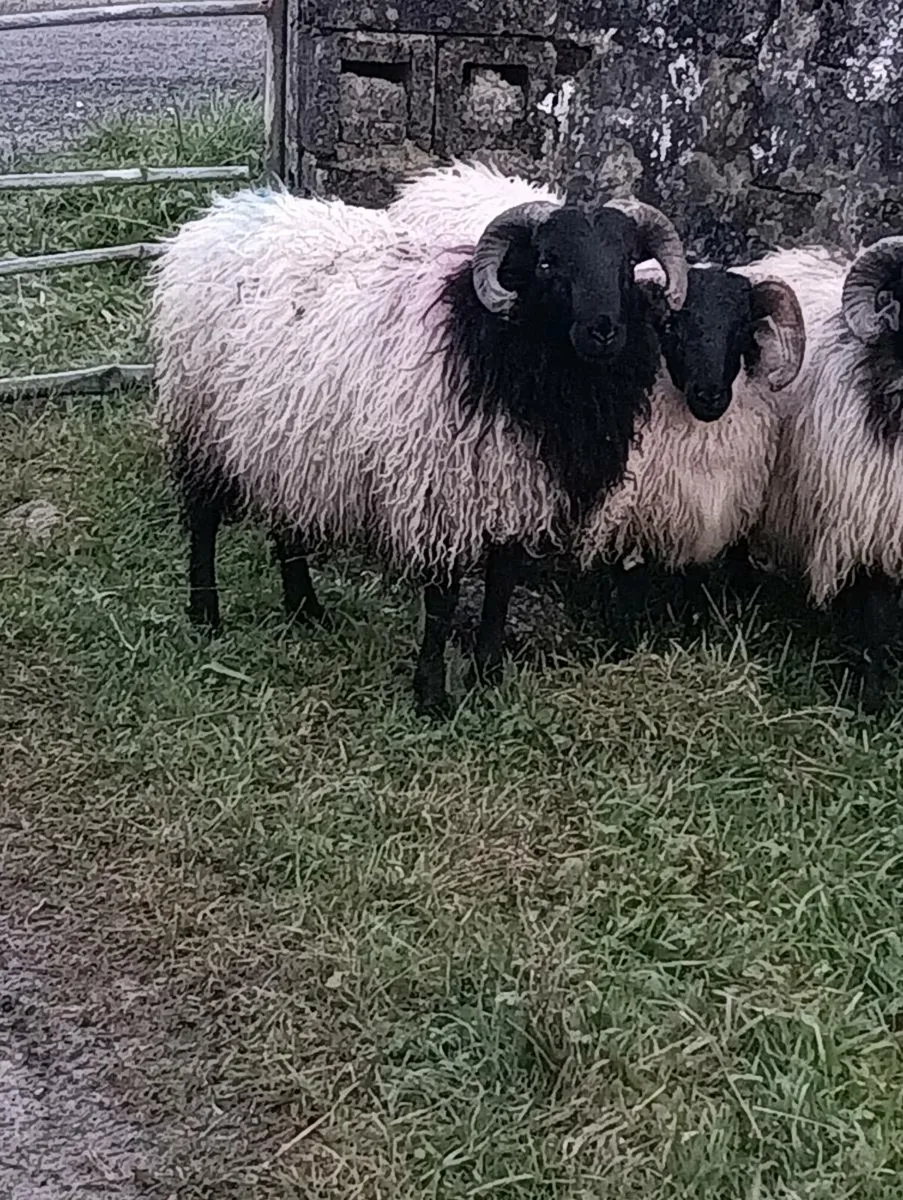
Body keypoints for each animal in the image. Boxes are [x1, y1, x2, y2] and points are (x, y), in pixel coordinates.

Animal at [150, 174, 689, 717]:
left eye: (627, 262)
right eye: (547, 261)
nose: (604, 331)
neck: (490, 341)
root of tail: (222, 215)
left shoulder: (516, 485)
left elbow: (500, 588)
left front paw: (488, 676)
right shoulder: (440, 492)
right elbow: (443, 600)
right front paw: (431, 696)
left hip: (286, 435)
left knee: (288, 517)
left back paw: (305, 607)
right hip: (200, 418)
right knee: (202, 517)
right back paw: (206, 613)